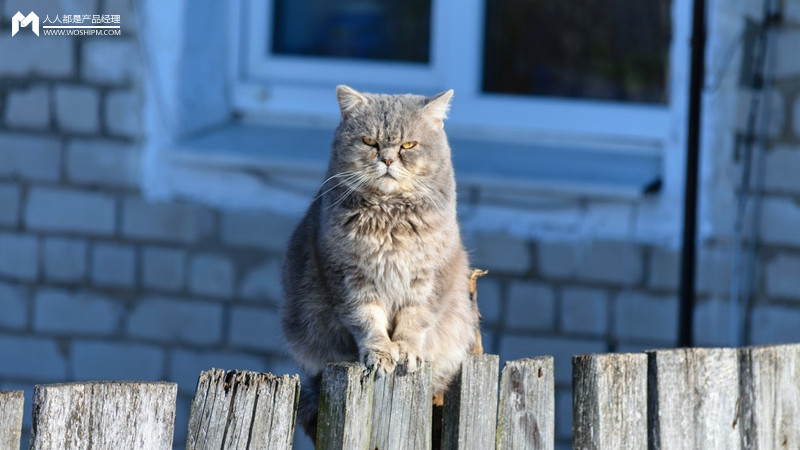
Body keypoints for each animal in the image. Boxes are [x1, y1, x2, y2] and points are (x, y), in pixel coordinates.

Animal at [282, 85, 478, 440]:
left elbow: (414, 321)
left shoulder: (427, 281)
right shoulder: (350, 279)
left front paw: (405, 350)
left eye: (408, 145)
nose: (386, 159)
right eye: (369, 142)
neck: (389, 215)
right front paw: (380, 352)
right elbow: (367, 320)